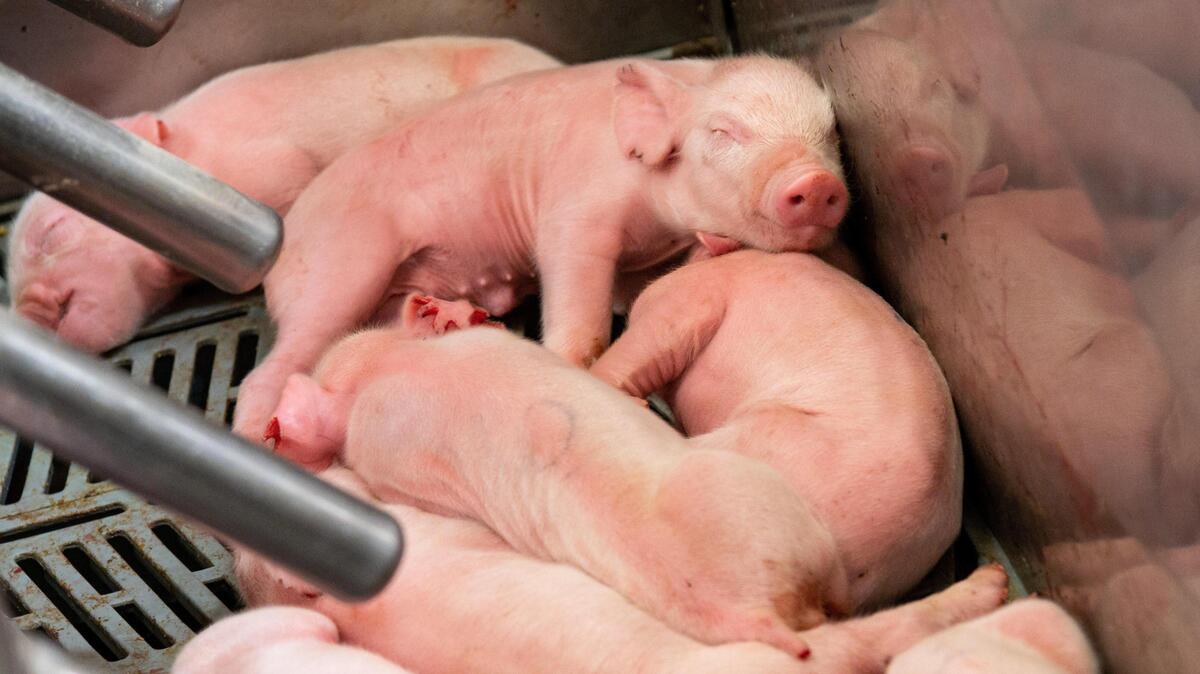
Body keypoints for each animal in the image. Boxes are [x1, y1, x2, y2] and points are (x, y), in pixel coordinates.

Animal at [231, 53, 848, 442]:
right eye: (723, 132)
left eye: (829, 135)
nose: (817, 182)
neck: (659, 219)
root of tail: (284, 237)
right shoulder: (576, 204)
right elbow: (577, 296)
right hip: (340, 264)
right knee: (278, 364)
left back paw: (455, 319)